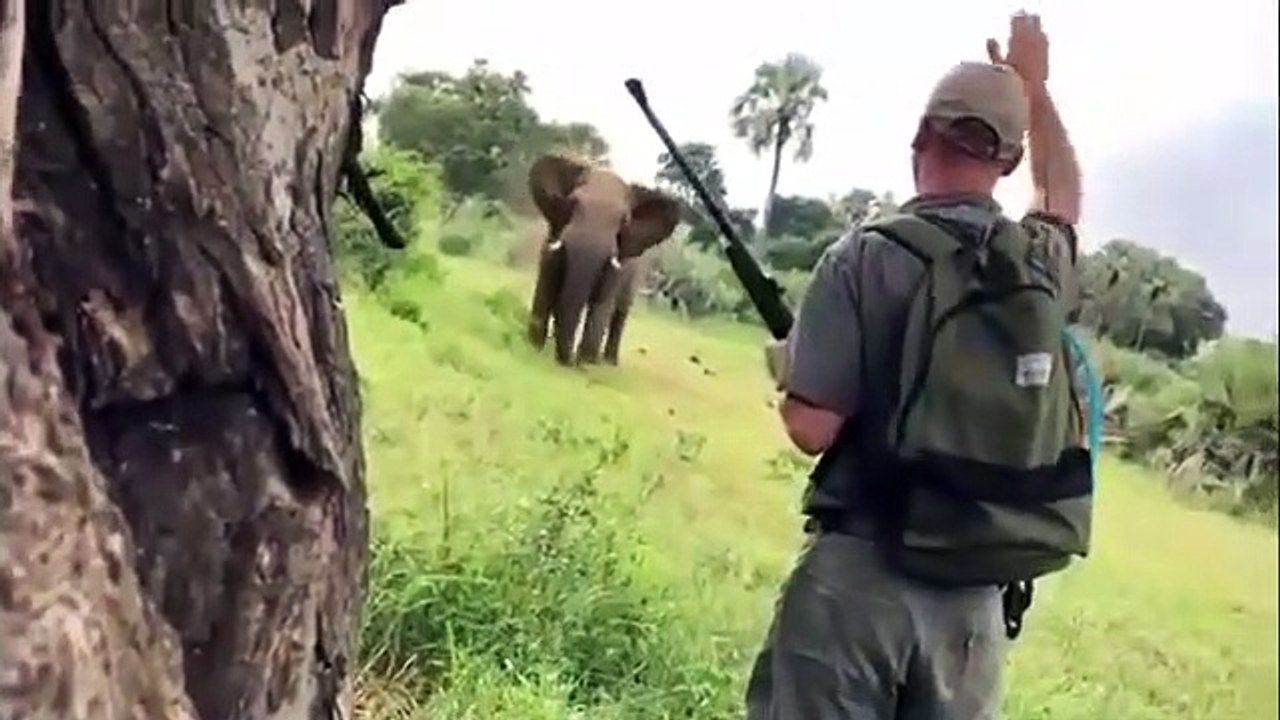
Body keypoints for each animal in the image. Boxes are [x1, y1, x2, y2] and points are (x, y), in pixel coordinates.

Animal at [525, 154, 681, 366]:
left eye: (624, 221)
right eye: (573, 203)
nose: (569, 360)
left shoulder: (620, 264)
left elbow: (603, 302)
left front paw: (586, 362)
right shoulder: (553, 237)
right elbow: (547, 285)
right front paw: (533, 345)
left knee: (620, 313)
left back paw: (608, 362)